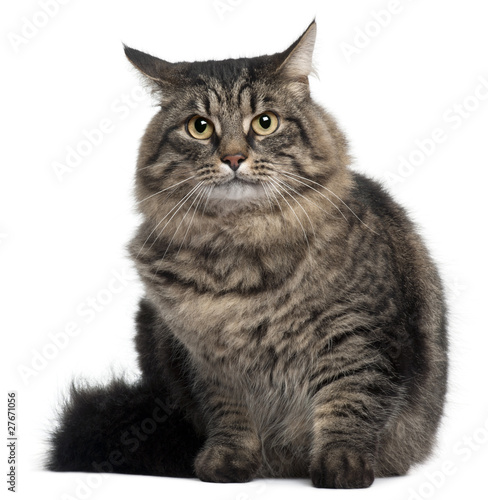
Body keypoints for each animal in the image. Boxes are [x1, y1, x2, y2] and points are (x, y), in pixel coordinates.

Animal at [47, 22, 448, 488]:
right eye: (200, 127)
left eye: (265, 122)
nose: (234, 157)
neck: (240, 253)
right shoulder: (208, 359)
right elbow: (230, 414)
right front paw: (228, 462)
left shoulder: (358, 335)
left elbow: (349, 402)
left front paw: (342, 465)